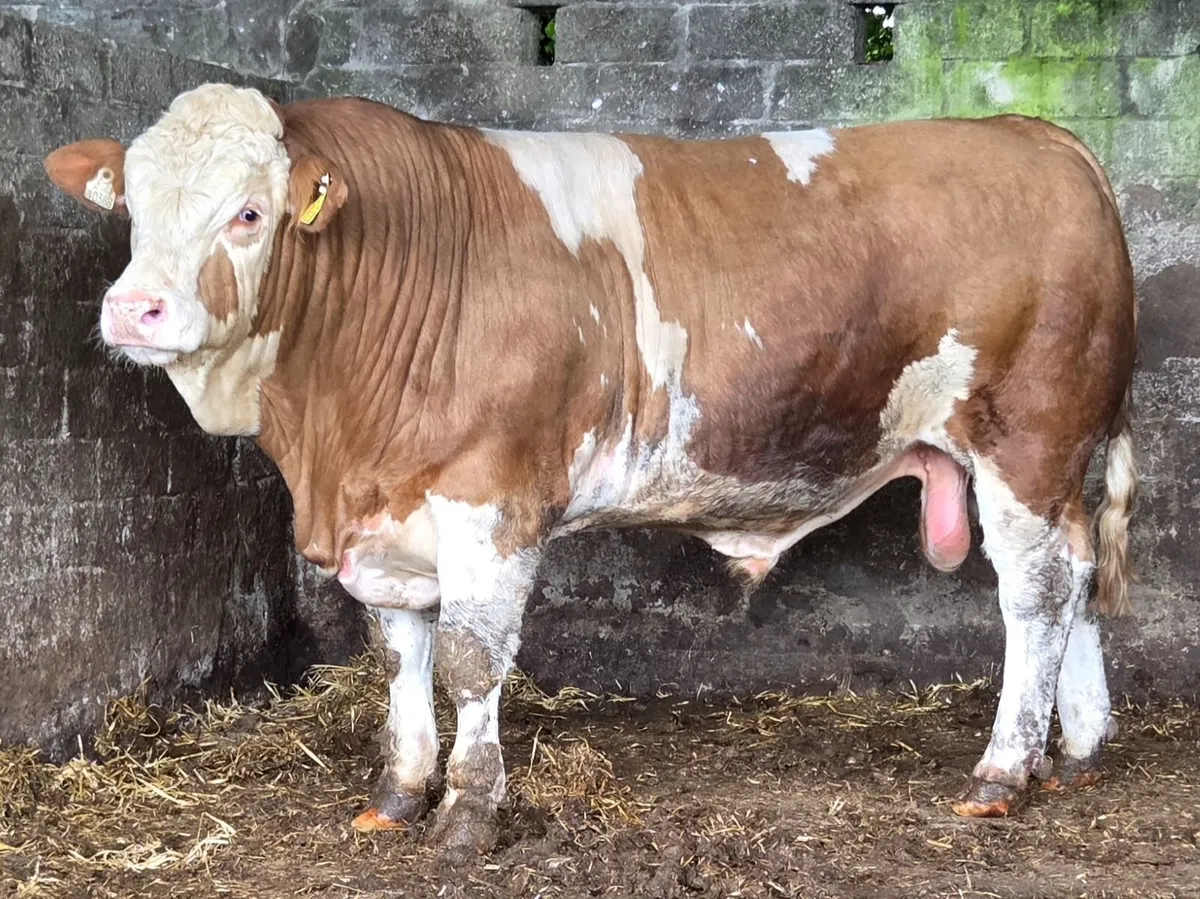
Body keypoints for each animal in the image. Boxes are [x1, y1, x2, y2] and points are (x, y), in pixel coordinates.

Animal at [44, 83, 1139, 861]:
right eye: (133, 209)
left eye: (248, 213)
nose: (134, 309)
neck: (331, 443)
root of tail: (1043, 138)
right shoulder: (387, 519)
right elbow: (399, 655)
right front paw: (397, 795)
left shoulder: (489, 500)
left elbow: (470, 661)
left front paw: (469, 812)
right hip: (1057, 460)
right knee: (1081, 574)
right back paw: (1077, 752)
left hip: (1026, 441)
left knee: (1037, 591)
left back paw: (1004, 768)